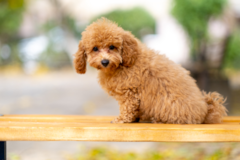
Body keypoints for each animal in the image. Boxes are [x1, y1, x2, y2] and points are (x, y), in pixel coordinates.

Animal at [73, 18, 227, 124]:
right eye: (95, 49)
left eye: (112, 47)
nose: (105, 61)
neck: (122, 63)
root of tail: (205, 111)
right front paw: (135, 118)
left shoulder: (129, 92)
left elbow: (127, 107)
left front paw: (122, 119)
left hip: (168, 104)